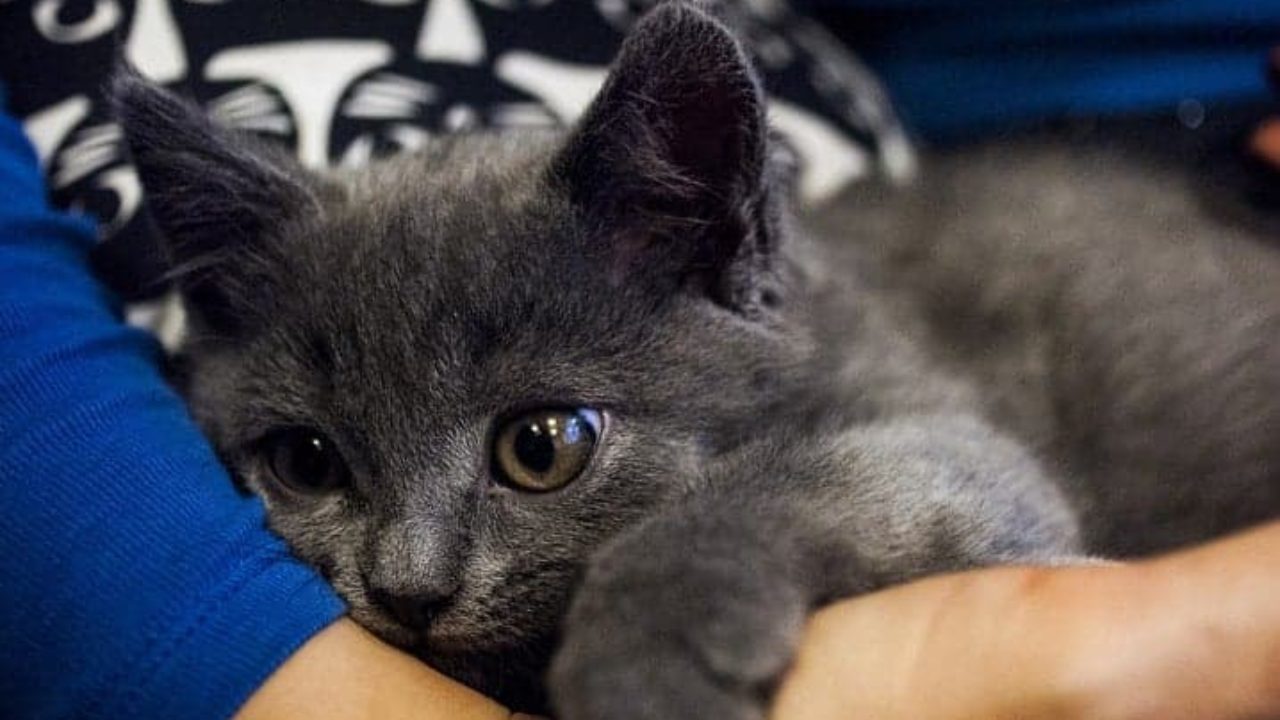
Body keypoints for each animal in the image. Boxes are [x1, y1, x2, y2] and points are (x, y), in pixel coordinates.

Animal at [110, 2, 1280, 712]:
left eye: (543, 446)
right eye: (303, 463)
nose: (408, 586)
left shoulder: (952, 426)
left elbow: (815, 477)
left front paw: (642, 665)